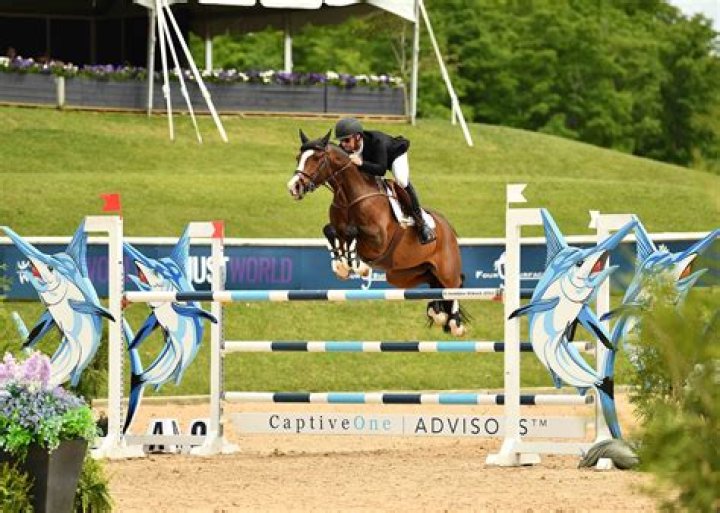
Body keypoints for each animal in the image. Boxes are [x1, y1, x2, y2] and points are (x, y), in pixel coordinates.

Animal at [287, 129, 468, 336]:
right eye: (298, 158)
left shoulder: (379, 240)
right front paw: (341, 265)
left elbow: (353, 232)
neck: (349, 196)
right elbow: (331, 231)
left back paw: (454, 323)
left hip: (446, 269)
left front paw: (358, 266)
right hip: (404, 274)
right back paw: (438, 312)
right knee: (434, 283)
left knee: (455, 284)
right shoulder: (338, 228)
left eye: (316, 158)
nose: (293, 187)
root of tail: (449, 228)